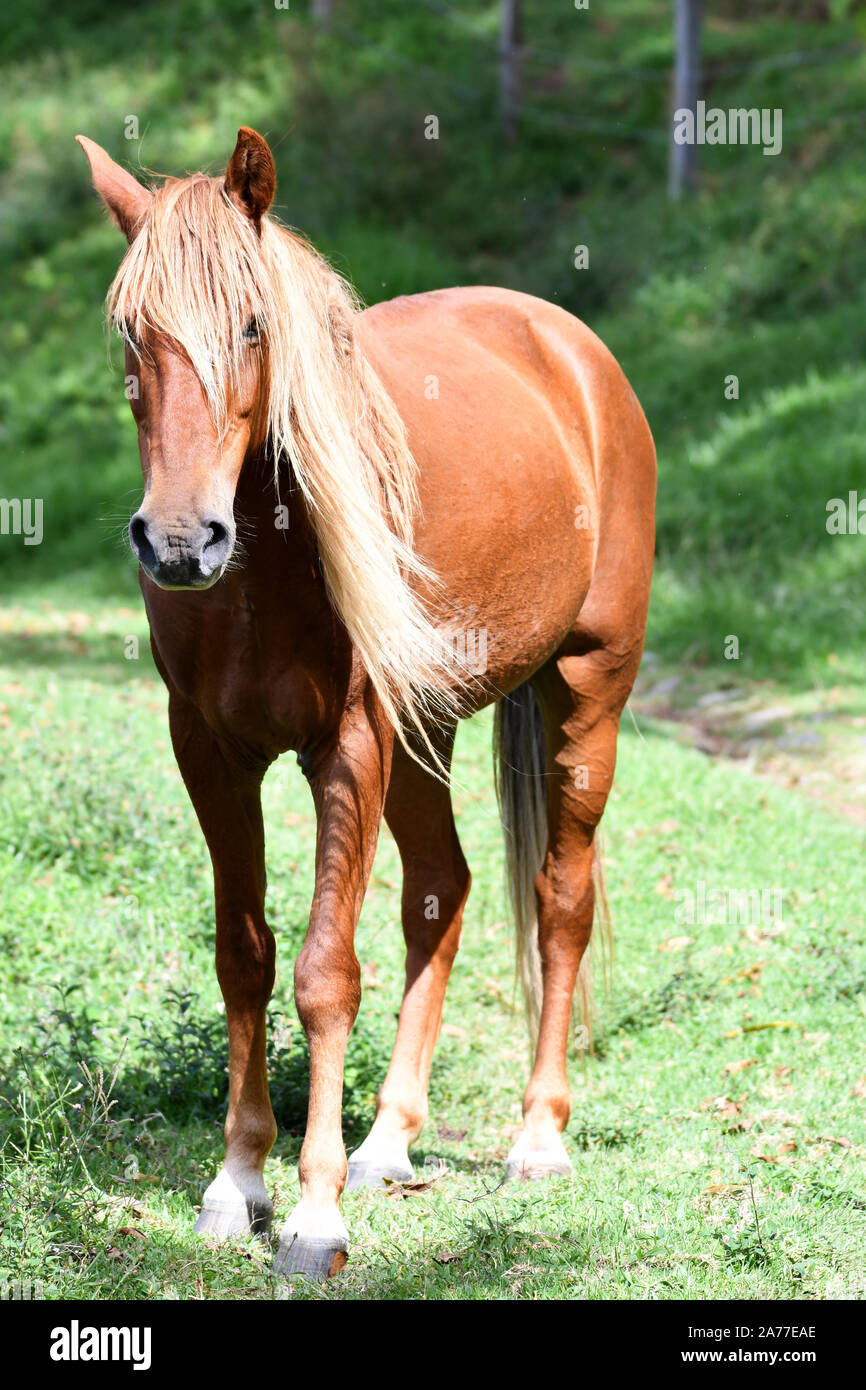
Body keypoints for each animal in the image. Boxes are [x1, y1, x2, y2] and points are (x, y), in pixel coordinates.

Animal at [77, 127, 656, 1279]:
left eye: (252, 325)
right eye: (131, 333)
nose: (180, 542)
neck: (265, 567)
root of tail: (571, 349)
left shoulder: (346, 746)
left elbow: (322, 972)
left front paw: (312, 1214)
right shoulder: (209, 754)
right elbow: (244, 956)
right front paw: (239, 1183)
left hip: (585, 697)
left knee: (558, 900)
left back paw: (537, 1138)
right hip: (424, 731)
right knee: (442, 890)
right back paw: (388, 1140)